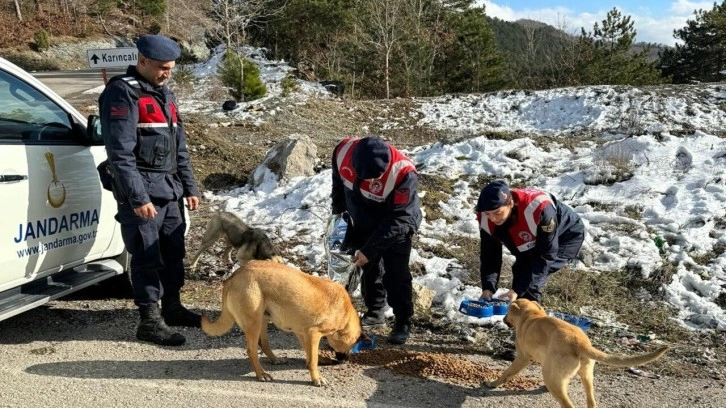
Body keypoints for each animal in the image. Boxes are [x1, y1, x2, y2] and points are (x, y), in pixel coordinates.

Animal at [202, 262, 364, 386]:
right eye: (351, 345)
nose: (345, 360)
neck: (345, 313)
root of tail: (234, 275)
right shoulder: (313, 333)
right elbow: (313, 360)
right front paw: (316, 378)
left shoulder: (303, 333)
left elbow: (310, 354)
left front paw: (319, 361)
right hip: (254, 322)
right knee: (251, 350)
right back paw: (261, 374)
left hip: (263, 319)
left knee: (264, 344)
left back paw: (275, 359)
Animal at [490, 298, 672, 406]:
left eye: (507, 313)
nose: (503, 319)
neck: (532, 314)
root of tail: (581, 343)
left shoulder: (522, 357)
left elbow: (507, 373)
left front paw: (493, 383)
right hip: (586, 375)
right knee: (591, 401)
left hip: (551, 375)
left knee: (567, 404)